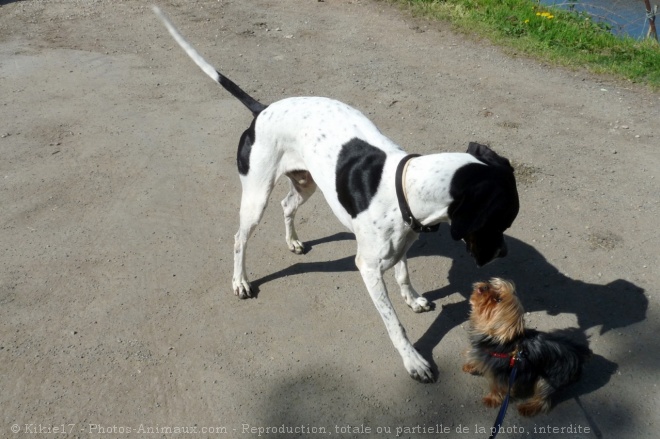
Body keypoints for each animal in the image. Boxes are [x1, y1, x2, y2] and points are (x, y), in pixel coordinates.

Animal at [152, 7, 520, 384]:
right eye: (500, 221)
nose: (503, 253)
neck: (406, 187)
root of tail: (262, 109)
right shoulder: (368, 268)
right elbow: (394, 324)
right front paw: (413, 360)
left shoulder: (404, 243)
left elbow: (404, 274)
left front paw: (413, 298)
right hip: (256, 197)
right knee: (240, 238)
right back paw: (240, 281)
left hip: (306, 185)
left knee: (287, 205)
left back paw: (293, 241)